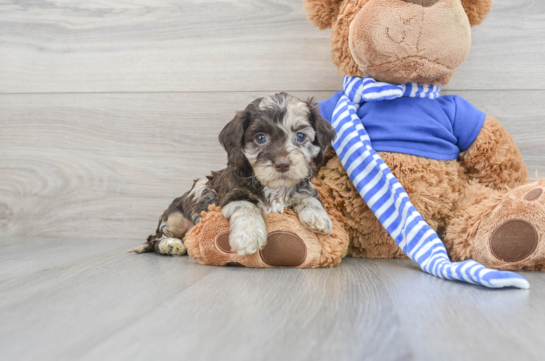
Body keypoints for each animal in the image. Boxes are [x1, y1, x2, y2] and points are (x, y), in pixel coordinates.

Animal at [132, 93, 336, 256]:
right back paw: (170, 245)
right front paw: (249, 237)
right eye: (260, 138)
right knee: (155, 238)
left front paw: (319, 218)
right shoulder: (229, 196)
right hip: (176, 217)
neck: (273, 188)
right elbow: (246, 206)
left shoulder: (304, 188)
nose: (282, 164)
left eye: (300, 136)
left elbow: (309, 198)